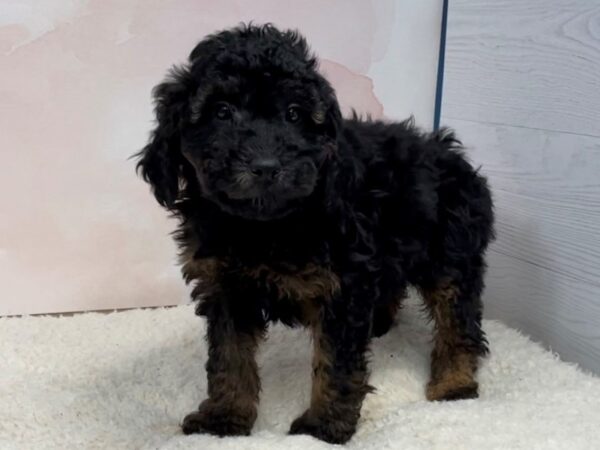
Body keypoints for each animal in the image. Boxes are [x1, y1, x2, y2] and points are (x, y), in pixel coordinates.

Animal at [137, 23, 496, 442]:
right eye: (221, 112)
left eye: (294, 114)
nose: (266, 165)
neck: (263, 225)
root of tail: (453, 154)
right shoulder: (225, 286)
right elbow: (228, 356)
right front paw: (223, 418)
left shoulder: (342, 285)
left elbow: (336, 363)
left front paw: (322, 426)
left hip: (450, 250)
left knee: (458, 316)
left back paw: (453, 383)